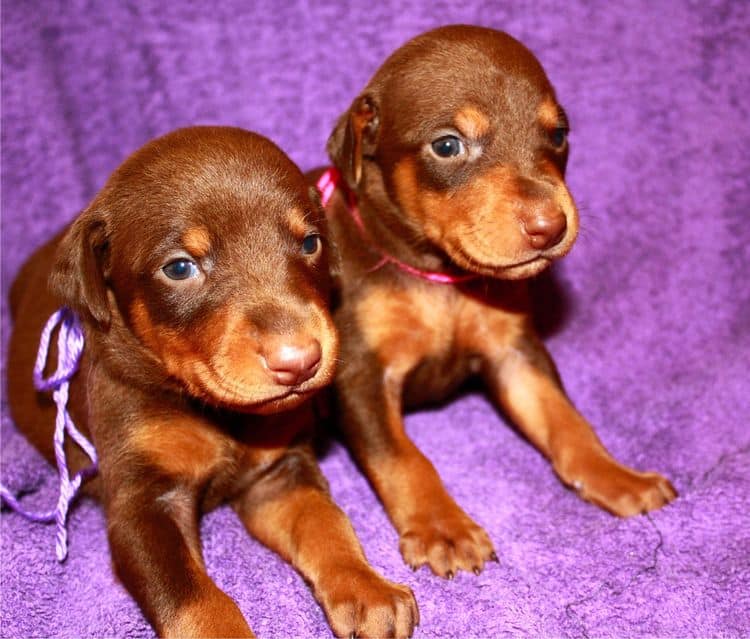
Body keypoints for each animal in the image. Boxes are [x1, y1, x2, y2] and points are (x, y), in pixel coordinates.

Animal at [7, 126, 418, 639]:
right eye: (179, 267)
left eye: (310, 243)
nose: (300, 361)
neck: (214, 410)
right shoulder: (144, 504)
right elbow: (195, 597)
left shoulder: (278, 475)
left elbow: (327, 524)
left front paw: (368, 588)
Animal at [314, 26, 680, 580]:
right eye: (448, 145)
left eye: (558, 135)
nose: (551, 226)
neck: (440, 277)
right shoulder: (361, 376)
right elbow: (404, 458)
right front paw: (443, 527)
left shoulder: (514, 353)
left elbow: (566, 421)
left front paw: (617, 476)